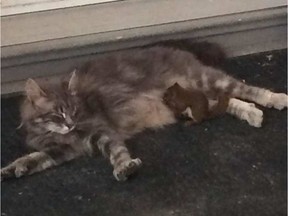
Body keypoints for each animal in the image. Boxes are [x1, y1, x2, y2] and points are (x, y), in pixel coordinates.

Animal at [1, 42, 286, 181]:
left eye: (73, 110)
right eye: (59, 114)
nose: (70, 124)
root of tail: (178, 50)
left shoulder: (102, 131)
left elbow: (116, 152)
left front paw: (125, 167)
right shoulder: (64, 149)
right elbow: (34, 159)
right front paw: (12, 170)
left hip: (206, 80)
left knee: (245, 89)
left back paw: (275, 98)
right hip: (190, 99)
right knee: (227, 101)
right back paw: (251, 113)